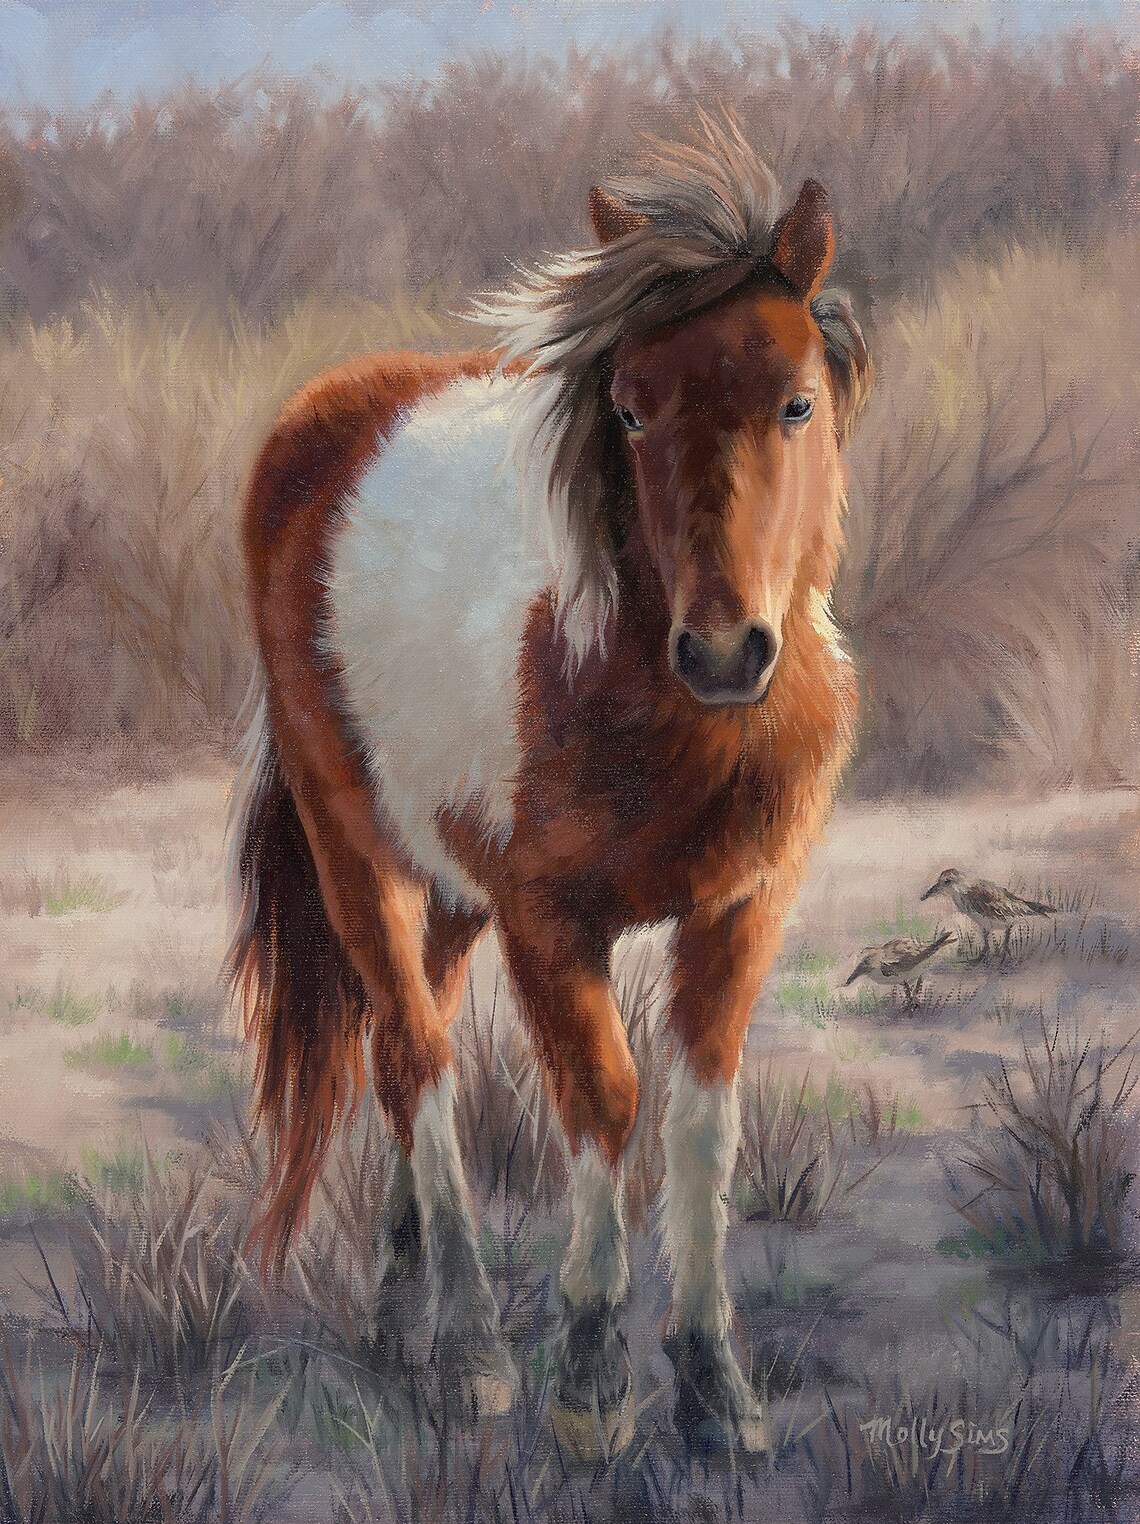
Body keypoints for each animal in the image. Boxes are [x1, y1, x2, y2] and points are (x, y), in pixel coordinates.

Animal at [228, 119, 872, 1459]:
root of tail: (334, 411)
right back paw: (469, 1346)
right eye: (626, 408)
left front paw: (714, 1387)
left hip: (451, 887)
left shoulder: (740, 913)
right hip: (355, 851)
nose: (723, 653)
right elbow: (604, 1101)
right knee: (415, 1059)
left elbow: (698, 1124)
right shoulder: (550, 928)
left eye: (796, 401)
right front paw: (586, 1377)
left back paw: (401, 1310)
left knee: (403, 1041)